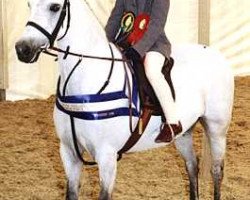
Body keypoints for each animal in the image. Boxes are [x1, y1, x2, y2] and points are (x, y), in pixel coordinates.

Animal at [15, 0, 234, 200]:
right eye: (29, 5)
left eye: (55, 7)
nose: (22, 49)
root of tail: (215, 53)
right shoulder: (69, 153)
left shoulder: (107, 157)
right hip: (183, 134)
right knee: (191, 166)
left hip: (216, 128)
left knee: (217, 171)